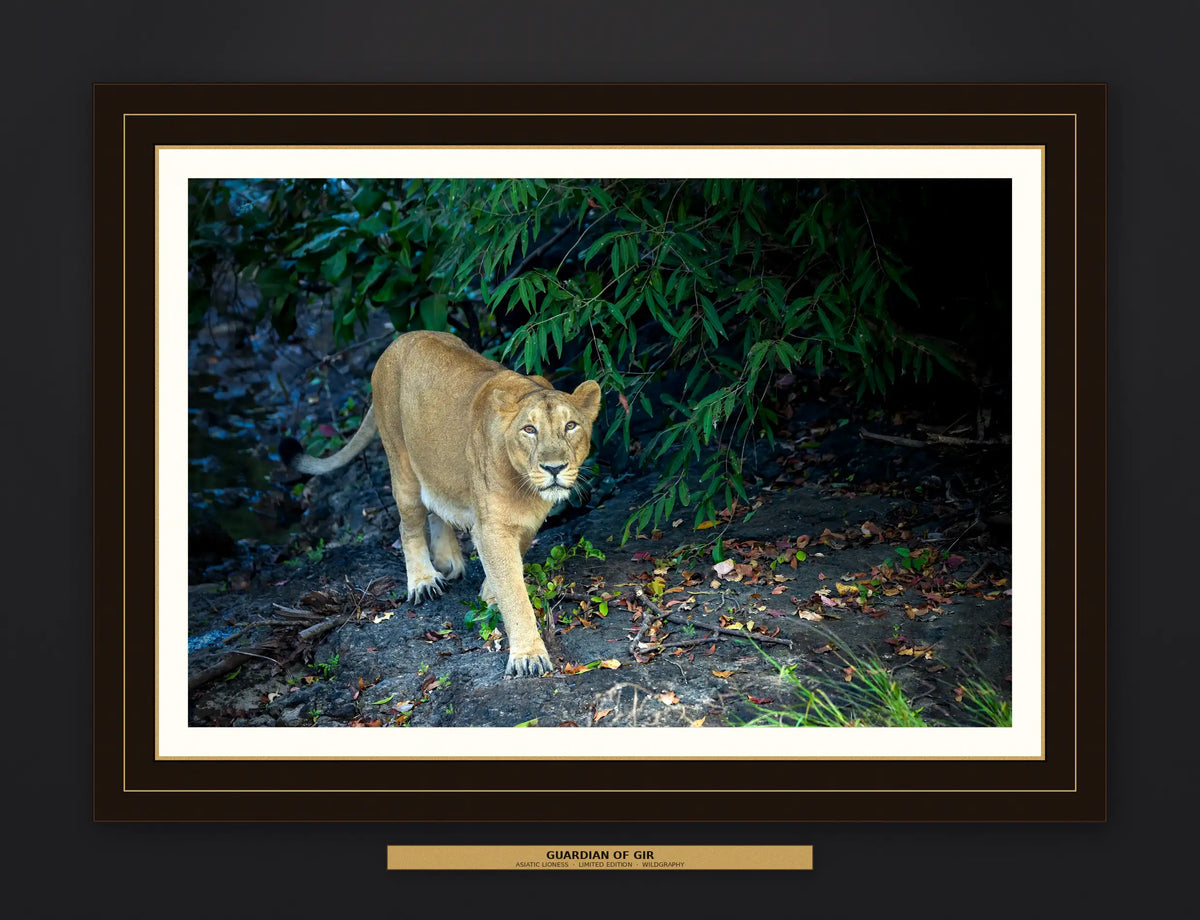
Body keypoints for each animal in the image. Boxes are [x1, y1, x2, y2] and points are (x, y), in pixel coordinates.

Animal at [279, 330, 602, 677]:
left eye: (570, 426)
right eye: (529, 430)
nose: (554, 468)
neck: (526, 489)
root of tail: (398, 341)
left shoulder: (526, 521)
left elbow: (512, 563)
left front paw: (489, 592)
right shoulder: (491, 528)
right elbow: (514, 592)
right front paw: (528, 656)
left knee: (437, 503)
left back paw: (447, 560)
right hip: (401, 465)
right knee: (407, 525)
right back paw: (423, 581)